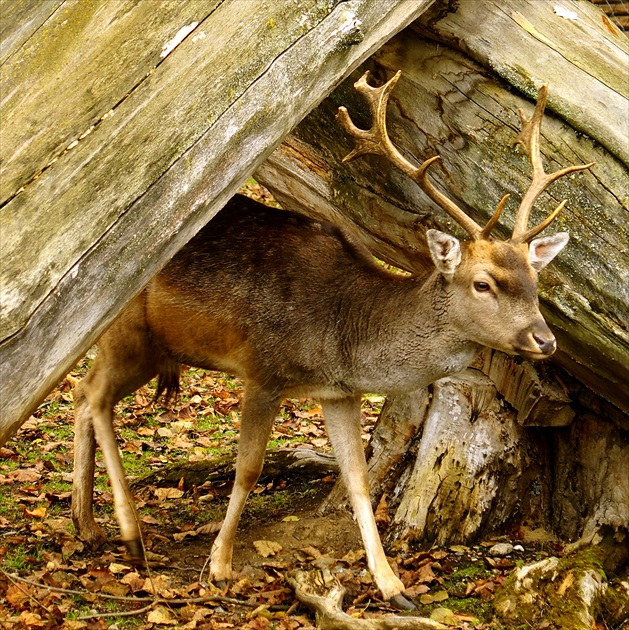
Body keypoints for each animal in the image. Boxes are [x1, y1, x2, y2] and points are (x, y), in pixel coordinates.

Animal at [71, 70, 592, 612]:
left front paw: (392, 586)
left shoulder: (339, 393)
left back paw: (87, 526)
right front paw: (219, 566)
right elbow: (248, 470)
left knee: (82, 394)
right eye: (483, 283)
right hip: (127, 330)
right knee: (94, 395)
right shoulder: (263, 369)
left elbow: (358, 480)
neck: (339, 333)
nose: (544, 340)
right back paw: (129, 535)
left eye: (535, 280)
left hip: (153, 350)